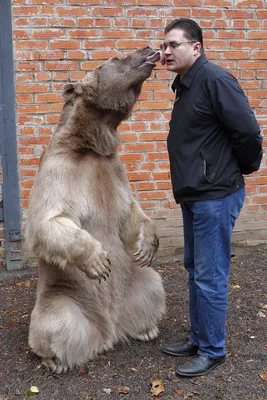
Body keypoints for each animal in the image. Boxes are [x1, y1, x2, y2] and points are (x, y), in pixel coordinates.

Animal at [25, 47, 168, 376]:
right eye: (115, 59)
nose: (148, 49)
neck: (92, 144)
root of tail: (109, 329)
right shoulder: (60, 168)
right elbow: (47, 220)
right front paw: (99, 260)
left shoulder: (113, 170)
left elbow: (129, 210)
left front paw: (147, 244)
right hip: (63, 293)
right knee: (54, 322)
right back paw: (56, 361)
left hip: (132, 282)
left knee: (152, 285)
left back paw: (146, 328)